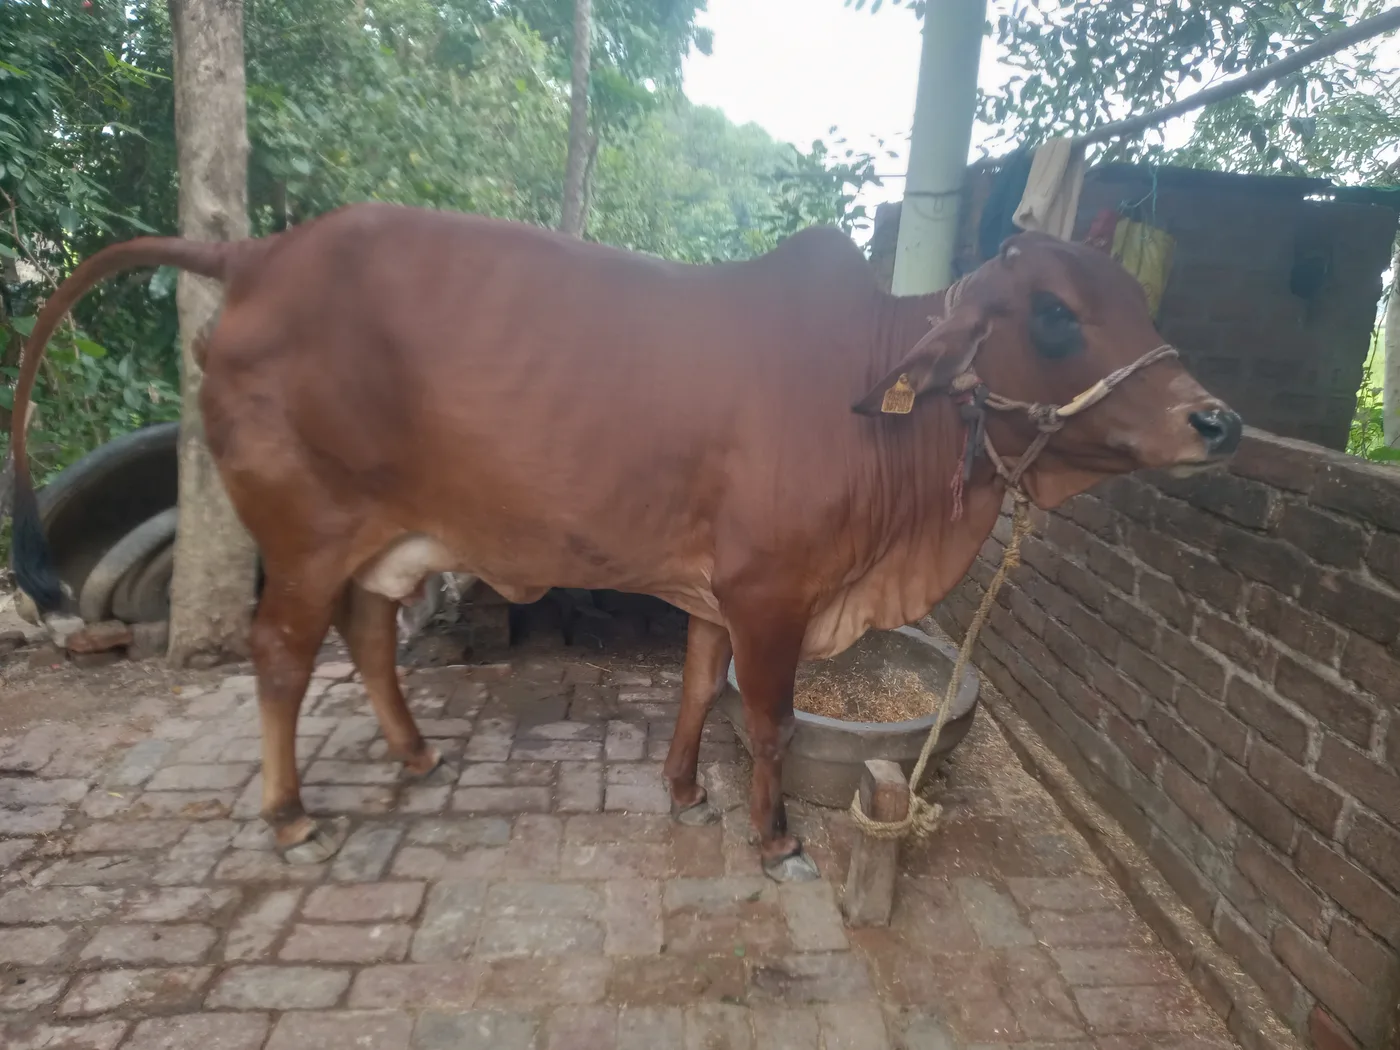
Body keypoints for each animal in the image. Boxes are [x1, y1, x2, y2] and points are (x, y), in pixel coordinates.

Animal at [8, 204, 1241, 880]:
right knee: (279, 654)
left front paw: (686, 791)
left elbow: (697, 689)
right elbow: (766, 718)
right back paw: (291, 818)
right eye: (1055, 313)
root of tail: (260, 255)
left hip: (386, 534)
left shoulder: (714, 591)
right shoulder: (771, 592)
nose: (1216, 422)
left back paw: (416, 755)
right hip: (305, 531)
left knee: (366, 632)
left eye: (1139, 298)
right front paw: (775, 841)